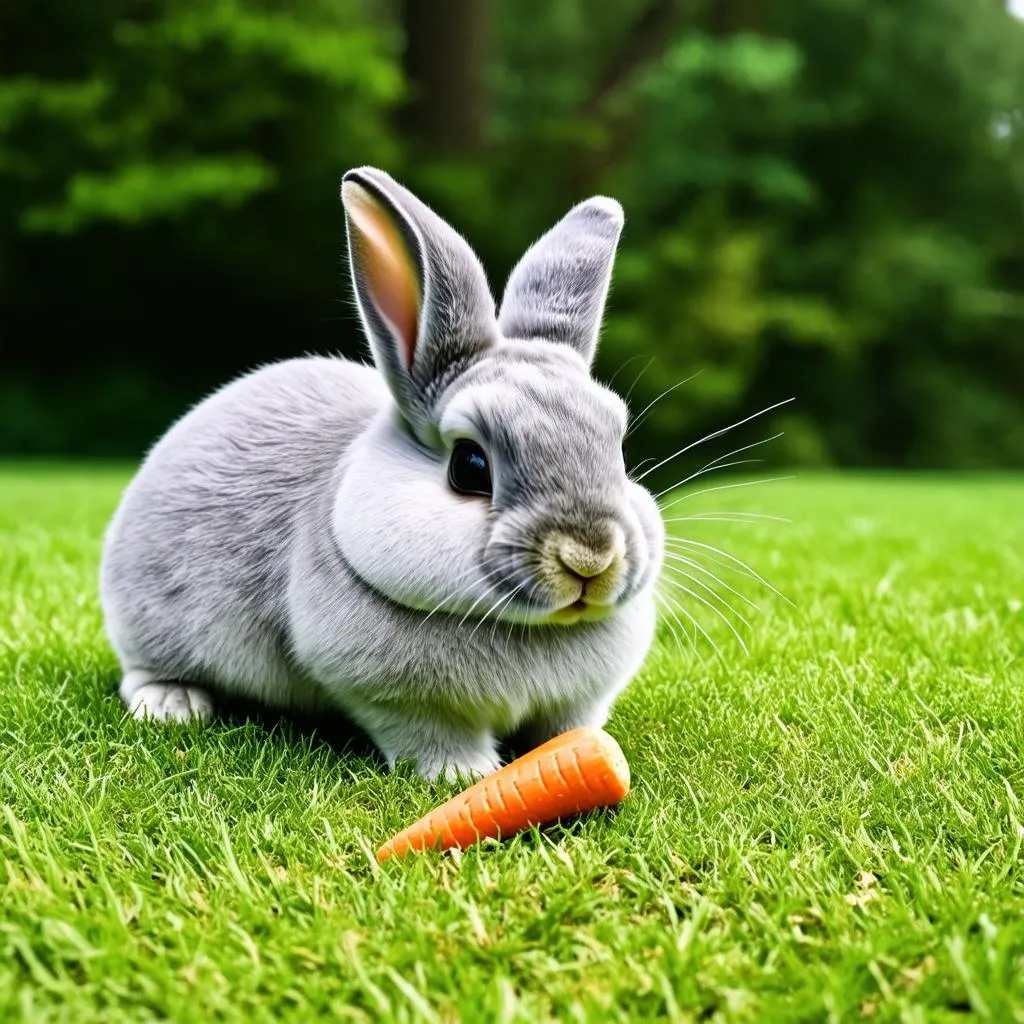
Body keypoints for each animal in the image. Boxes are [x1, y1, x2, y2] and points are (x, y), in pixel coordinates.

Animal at [99, 165, 663, 782]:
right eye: (469, 466)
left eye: (617, 445)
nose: (590, 557)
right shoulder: (400, 703)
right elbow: (430, 735)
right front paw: (463, 775)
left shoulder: (577, 701)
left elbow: (567, 728)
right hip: (152, 623)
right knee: (143, 671)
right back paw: (173, 704)